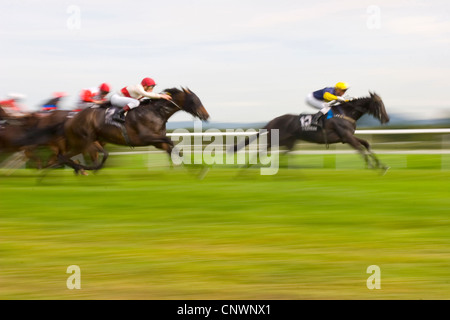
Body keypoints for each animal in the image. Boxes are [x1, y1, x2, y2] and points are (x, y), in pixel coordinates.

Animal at [19, 87, 211, 172]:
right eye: (194, 100)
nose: (206, 115)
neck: (155, 112)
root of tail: (69, 119)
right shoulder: (145, 138)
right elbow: (170, 142)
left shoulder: (156, 141)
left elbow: (172, 148)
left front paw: (194, 167)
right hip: (82, 141)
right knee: (62, 156)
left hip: (84, 141)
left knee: (63, 156)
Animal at [232, 92, 390, 171]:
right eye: (378, 103)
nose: (386, 119)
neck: (345, 113)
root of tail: (272, 121)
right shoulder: (346, 137)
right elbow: (360, 148)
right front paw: (372, 166)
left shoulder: (347, 137)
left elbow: (366, 144)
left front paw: (381, 165)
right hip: (275, 140)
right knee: (261, 152)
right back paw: (246, 168)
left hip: (289, 141)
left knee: (285, 153)